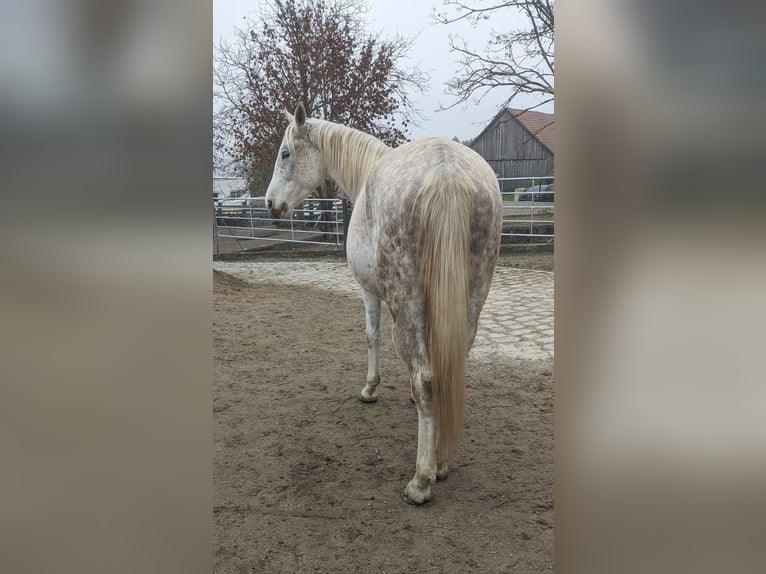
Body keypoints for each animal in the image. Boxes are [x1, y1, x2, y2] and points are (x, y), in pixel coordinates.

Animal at [264, 104, 504, 508]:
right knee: (447, 369)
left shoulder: (369, 292)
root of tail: (447, 173)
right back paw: (441, 460)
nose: (269, 204)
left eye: (285, 154)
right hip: (471, 300)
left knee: (426, 377)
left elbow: (371, 336)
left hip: (406, 302)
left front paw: (370, 389)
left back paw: (421, 480)